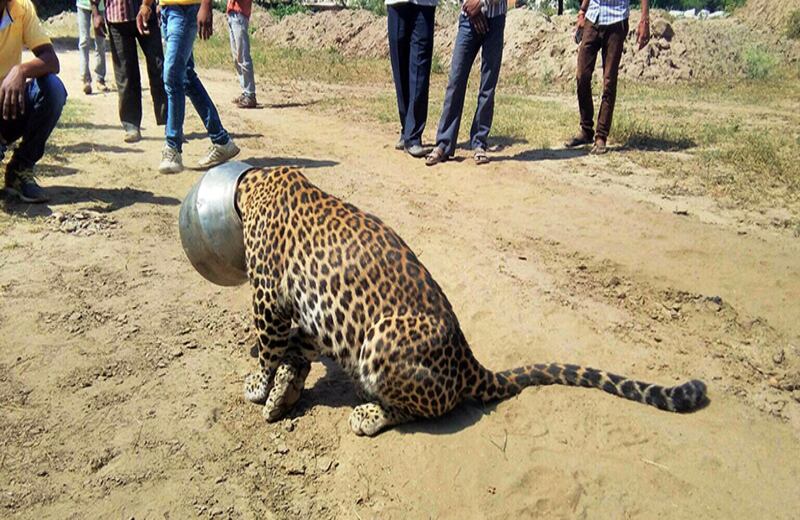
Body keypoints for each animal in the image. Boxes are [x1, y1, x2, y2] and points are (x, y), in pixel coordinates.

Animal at [235, 166, 707, 437]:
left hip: (383, 338)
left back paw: (369, 415)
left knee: (421, 410)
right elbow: (295, 348)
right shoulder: (315, 314)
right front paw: (283, 391)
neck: (259, 181)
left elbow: (268, 347)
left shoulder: (267, 296)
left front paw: (258, 385)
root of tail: (468, 361)